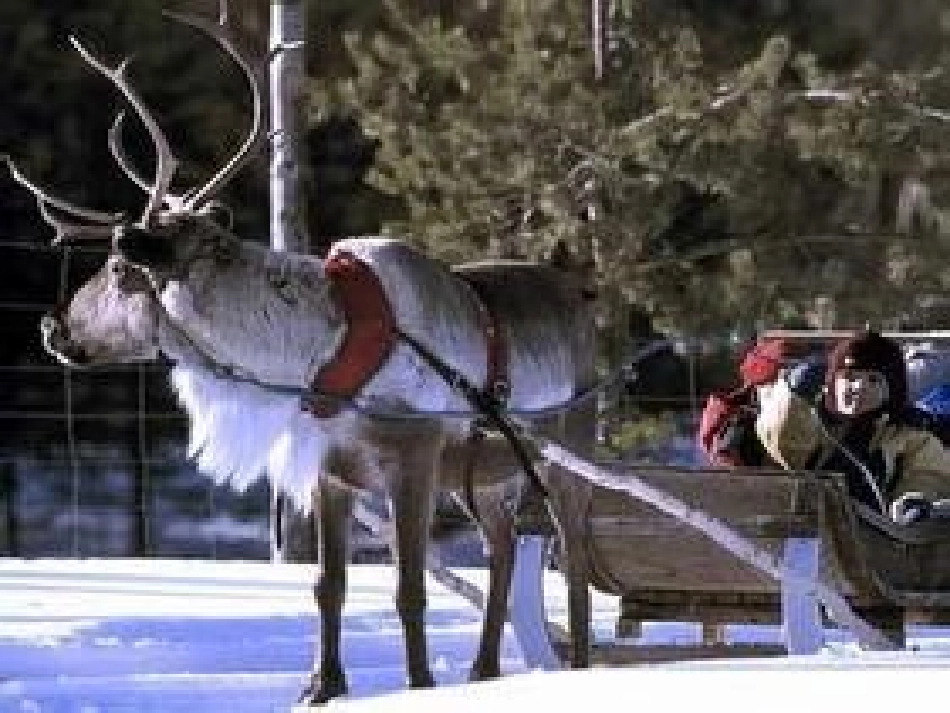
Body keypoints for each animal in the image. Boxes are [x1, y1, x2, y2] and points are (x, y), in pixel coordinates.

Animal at [6, 6, 600, 704]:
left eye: (122, 268)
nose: (52, 326)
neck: (313, 354)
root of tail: (582, 301)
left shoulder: (415, 455)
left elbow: (409, 590)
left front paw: (420, 684)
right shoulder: (330, 470)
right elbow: (328, 587)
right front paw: (321, 687)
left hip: (564, 451)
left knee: (575, 558)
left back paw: (578, 662)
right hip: (480, 478)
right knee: (504, 548)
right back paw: (483, 671)